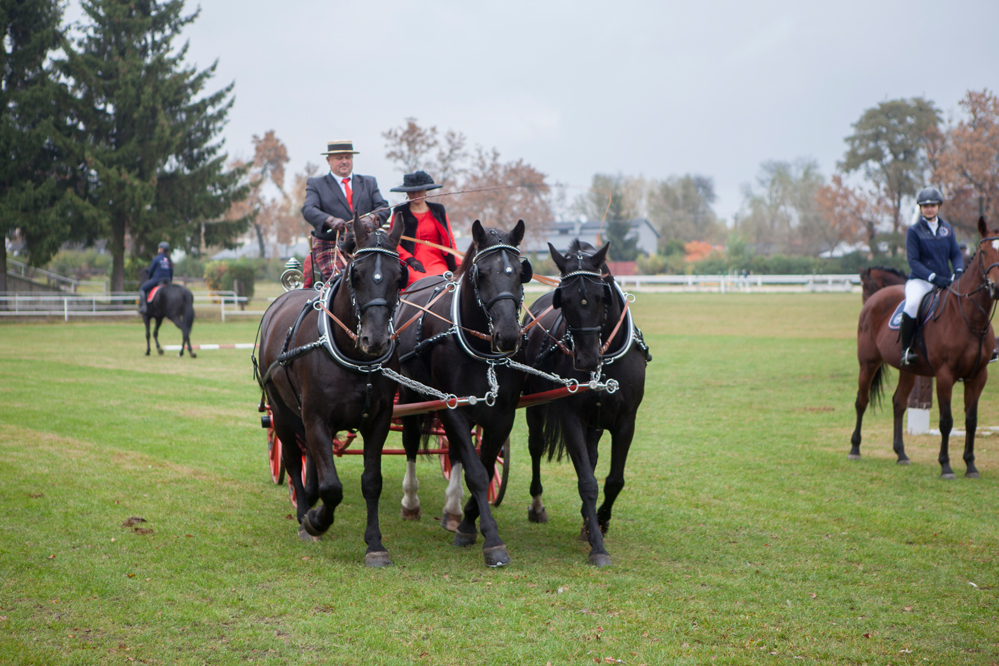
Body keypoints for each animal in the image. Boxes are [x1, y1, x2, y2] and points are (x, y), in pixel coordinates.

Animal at [255, 214, 406, 566]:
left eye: (399, 277)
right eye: (356, 273)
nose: (375, 340)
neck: (355, 359)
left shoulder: (379, 419)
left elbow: (371, 482)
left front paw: (375, 544)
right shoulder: (317, 420)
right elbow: (332, 487)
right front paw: (316, 520)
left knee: (308, 457)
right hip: (282, 411)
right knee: (293, 458)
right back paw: (303, 514)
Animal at [394, 220, 531, 568]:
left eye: (520, 272)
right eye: (481, 273)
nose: (508, 336)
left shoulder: (501, 415)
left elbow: (482, 466)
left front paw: (467, 524)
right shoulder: (451, 407)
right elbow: (478, 474)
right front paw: (492, 541)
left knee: (455, 452)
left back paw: (452, 511)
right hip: (411, 393)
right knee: (411, 442)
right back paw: (410, 501)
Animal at [521, 240, 649, 567]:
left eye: (600, 296)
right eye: (564, 300)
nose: (587, 359)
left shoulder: (626, 420)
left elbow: (614, 480)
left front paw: (598, 523)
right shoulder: (571, 417)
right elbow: (587, 482)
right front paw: (598, 545)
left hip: (598, 422)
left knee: (592, 457)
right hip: (535, 405)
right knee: (537, 446)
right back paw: (537, 506)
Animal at [851, 216, 999, 479]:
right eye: (983, 252)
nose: (997, 287)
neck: (969, 317)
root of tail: (873, 303)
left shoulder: (978, 376)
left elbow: (971, 421)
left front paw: (971, 466)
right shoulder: (945, 375)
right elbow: (946, 421)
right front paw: (946, 466)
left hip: (908, 370)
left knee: (899, 403)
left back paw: (901, 454)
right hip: (868, 363)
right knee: (862, 400)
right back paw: (855, 449)